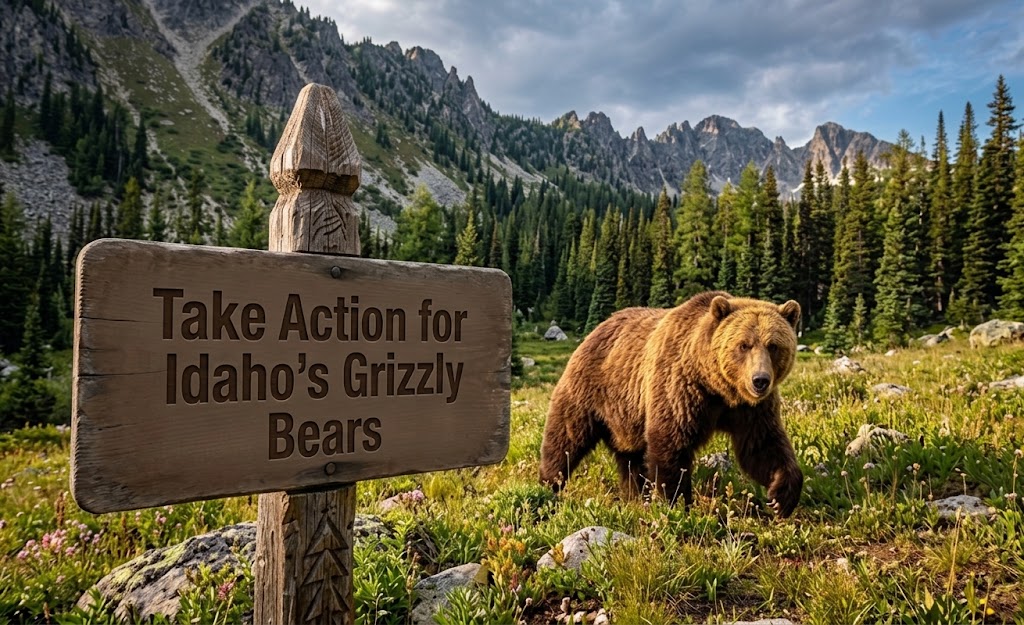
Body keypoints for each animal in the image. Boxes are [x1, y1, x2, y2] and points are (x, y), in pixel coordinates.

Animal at [539, 291, 804, 516]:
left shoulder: (749, 410)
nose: (760, 380)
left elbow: (762, 446)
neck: (718, 388)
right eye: (744, 345)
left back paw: (636, 495)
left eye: (773, 346)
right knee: (565, 438)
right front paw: (676, 502)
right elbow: (671, 443)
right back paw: (548, 484)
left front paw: (781, 497)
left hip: (627, 416)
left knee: (631, 460)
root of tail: (598, 328)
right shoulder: (679, 388)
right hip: (591, 390)